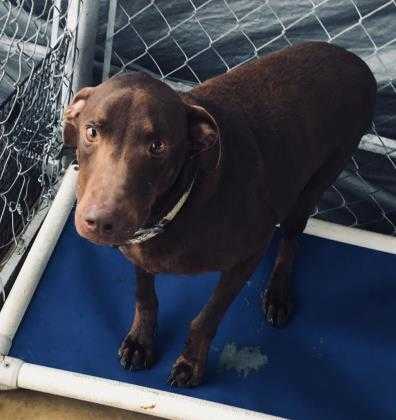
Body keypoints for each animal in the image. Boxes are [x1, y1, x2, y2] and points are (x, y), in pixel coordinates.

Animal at [63, 41, 376, 388]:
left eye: (158, 146)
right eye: (91, 131)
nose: (100, 222)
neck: (179, 201)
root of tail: (355, 61)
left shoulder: (248, 257)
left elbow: (207, 318)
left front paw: (191, 363)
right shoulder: (139, 252)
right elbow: (145, 297)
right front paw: (140, 342)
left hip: (317, 183)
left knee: (291, 238)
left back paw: (278, 292)